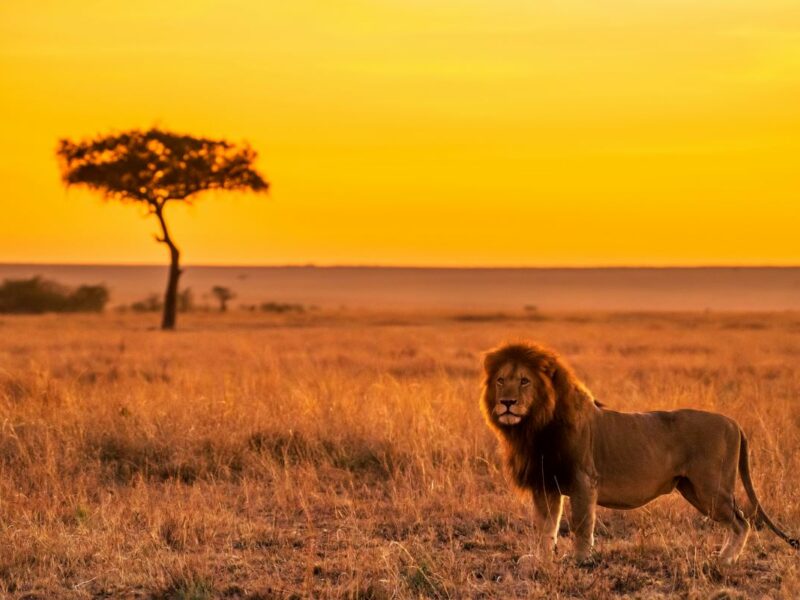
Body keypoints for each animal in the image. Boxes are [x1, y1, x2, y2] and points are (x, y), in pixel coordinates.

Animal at [480, 342, 798, 565]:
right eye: (500, 380)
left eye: (524, 381)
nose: (507, 403)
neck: (534, 426)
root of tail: (733, 422)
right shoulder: (546, 483)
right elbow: (546, 526)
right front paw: (541, 559)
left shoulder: (584, 480)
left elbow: (581, 524)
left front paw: (581, 560)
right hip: (693, 490)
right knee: (739, 520)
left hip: (711, 488)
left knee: (742, 521)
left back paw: (726, 560)